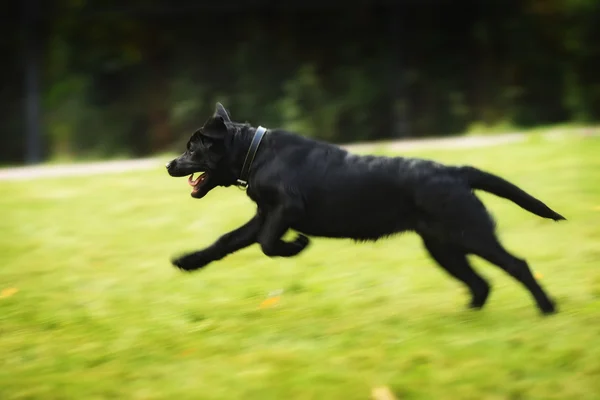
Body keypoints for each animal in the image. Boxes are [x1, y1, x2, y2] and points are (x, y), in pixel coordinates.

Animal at [166, 104, 564, 316]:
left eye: (192, 148)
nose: (169, 165)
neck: (256, 152)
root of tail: (455, 172)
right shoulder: (263, 216)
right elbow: (225, 241)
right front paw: (187, 261)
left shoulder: (283, 210)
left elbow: (267, 244)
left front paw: (297, 245)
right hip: (443, 247)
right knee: (481, 283)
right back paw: (466, 319)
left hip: (472, 234)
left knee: (517, 265)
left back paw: (547, 308)